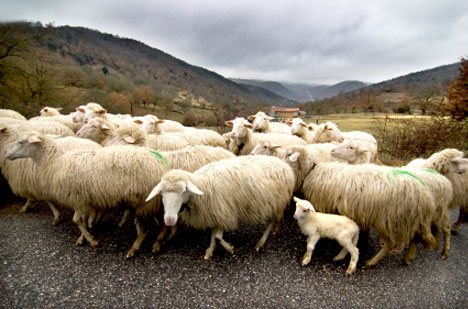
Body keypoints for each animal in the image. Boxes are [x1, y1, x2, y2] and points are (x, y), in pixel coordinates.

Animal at [5, 133, 166, 258]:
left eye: (21, 142)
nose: (6, 155)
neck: (54, 160)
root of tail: (160, 165)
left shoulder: (77, 199)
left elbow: (76, 220)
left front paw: (91, 240)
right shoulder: (84, 199)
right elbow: (82, 220)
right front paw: (85, 235)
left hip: (143, 201)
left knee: (147, 227)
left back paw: (137, 247)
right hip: (146, 201)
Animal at [145, 155, 296, 258]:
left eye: (183, 191)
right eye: (162, 193)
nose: (169, 220)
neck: (203, 186)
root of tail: (284, 164)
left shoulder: (224, 211)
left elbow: (217, 236)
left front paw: (230, 249)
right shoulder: (214, 212)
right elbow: (213, 234)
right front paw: (210, 251)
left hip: (275, 202)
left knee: (270, 223)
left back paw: (261, 243)